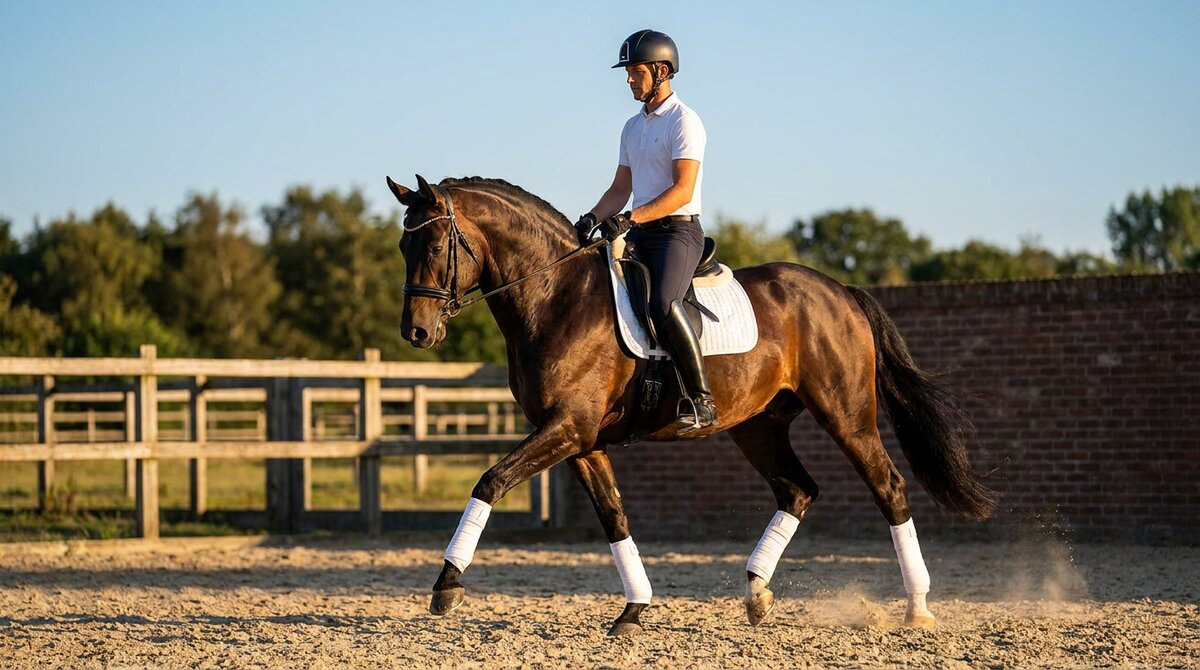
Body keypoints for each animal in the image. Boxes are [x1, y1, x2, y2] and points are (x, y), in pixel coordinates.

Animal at [386, 174, 996, 636]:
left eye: (434, 247)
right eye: (401, 248)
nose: (415, 332)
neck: (556, 298)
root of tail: (840, 291)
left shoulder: (567, 429)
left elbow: (489, 481)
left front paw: (446, 586)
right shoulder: (579, 440)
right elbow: (614, 516)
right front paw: (634, 611)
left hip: (846, 415)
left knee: (888, 487)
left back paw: (917, 608)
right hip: (757, 426)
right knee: (798, 491)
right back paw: (756, 594)